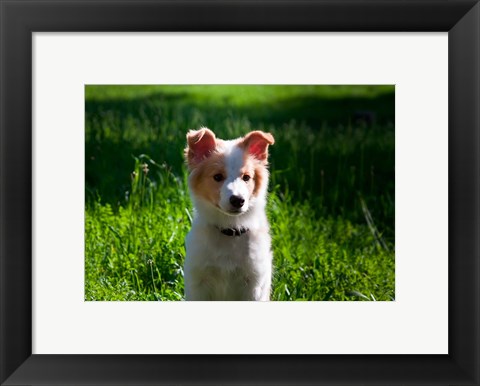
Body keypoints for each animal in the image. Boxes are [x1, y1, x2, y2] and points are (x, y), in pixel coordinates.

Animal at [184, 128, 274, 300]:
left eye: (246, 177)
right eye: (217, 177)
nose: (238, 200)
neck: (230, 228)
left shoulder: (254, 284)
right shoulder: (198, 282)